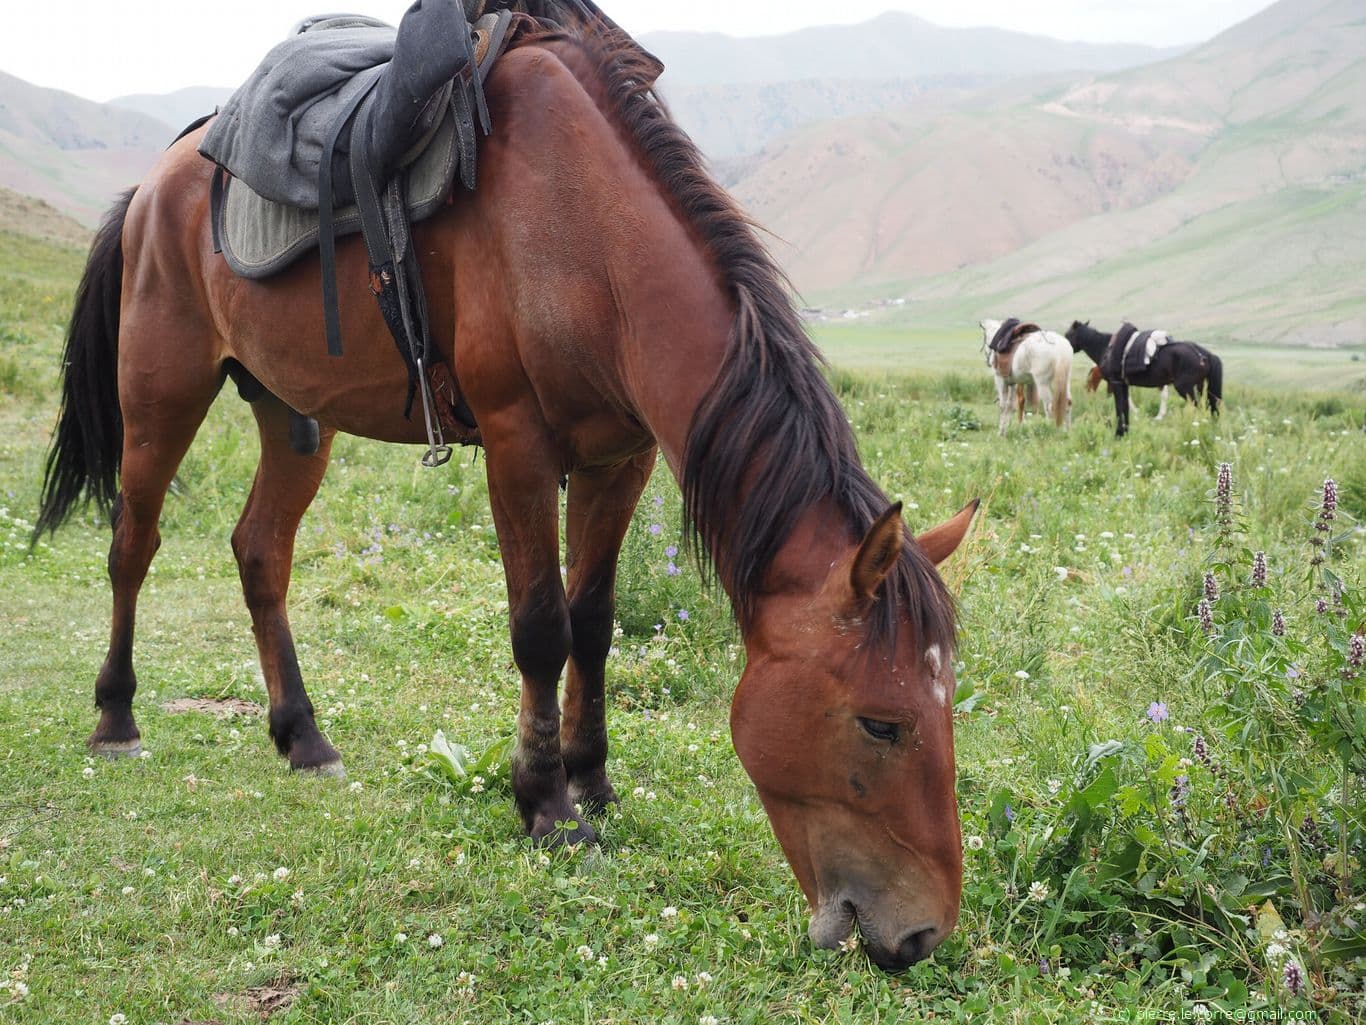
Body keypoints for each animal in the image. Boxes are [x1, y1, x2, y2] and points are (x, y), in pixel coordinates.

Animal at [32, 10, 978, 973]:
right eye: (882, 723)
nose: (923, 931)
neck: (588, 234)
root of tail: (154, 184)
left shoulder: (618, 457)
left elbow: (593, 622)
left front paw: (593, 779)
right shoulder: (518, 445)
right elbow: (541, 628)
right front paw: (546, 804)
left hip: (295, 415)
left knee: (260, 552)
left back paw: (302, 735)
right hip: (161, 395)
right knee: (132, 547)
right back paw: (116, 719)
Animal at [1060, 322, 1223, 440]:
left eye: (1068, 334)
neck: (1106, 348)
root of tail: (1203, 354)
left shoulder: (1115, 383)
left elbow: (1120, 407)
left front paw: (1119, 433)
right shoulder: (1123, 385)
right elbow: (1125, 407)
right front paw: (1124, 432)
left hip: (1185, 388)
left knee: (1199, 408)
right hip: (1201, 387)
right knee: (1209, 407)